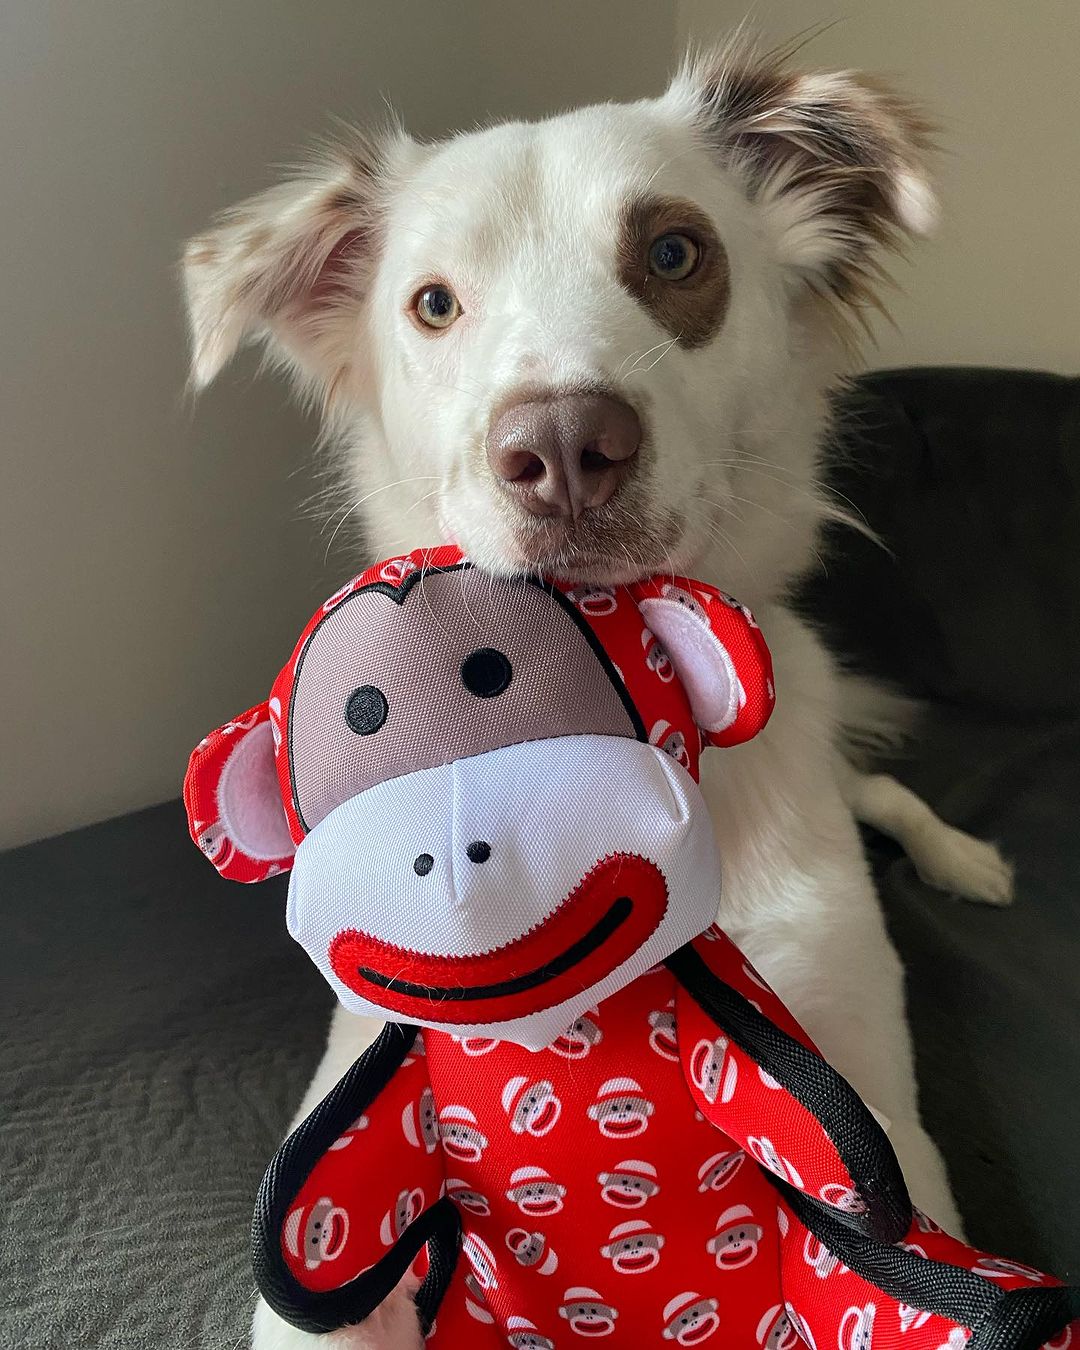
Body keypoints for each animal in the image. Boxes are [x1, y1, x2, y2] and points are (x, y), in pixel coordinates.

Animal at [183, 36, 1015, 1344]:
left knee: (884, 794)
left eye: (673, 254)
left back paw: (967, 859)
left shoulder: (864, 1089)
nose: (565, 448)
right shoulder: (364, 1083)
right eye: (434, 304)